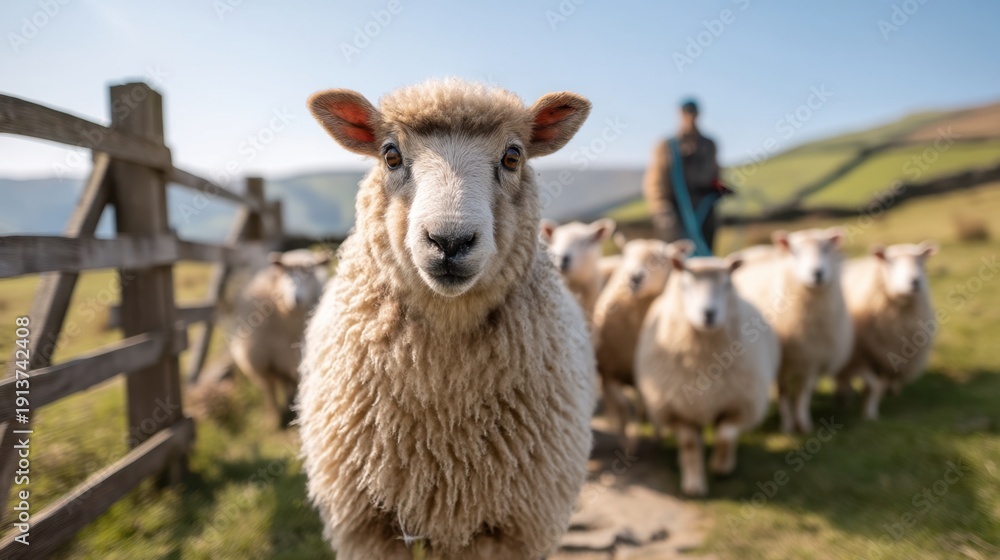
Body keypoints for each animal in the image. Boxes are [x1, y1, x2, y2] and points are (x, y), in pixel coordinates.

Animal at [228, 249, 329, 426]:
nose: (296, 298)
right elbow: (269, 390)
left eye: (310, 273)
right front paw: (273, 419)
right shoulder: (262, 362)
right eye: (286, 273)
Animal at [592, 238, 693, 450]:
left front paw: (656, 436)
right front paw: (627, 443)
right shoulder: (609, 372)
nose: (634, 278)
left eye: (660, 258)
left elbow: (647, 403)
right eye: (626, 257)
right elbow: (622, 408)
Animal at [635, 253, 779, 497]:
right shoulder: (678, 409)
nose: (708, 314)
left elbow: (725, 436)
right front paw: (694, 485)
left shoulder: (739, 403)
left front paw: (720, 466)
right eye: (685, 285)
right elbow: (690, 445)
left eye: (727, 284)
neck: (704, 359)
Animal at [732, 227, 854, 434]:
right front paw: (788, 426)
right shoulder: (782, 362)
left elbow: (802, 394)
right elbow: (784, 392)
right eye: (796, 252)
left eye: (826, 249)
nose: (817, 273)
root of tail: (756, 250)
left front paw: (803, 424)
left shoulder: (811, 359)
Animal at [836, 242, 939, 420]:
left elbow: (879, 387)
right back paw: (844, 397)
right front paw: (869, 414)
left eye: (920, 261)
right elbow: (873, 386)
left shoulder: (889, 359)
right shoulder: (861, 356)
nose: (915, 281)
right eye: (890, 262)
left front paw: (871, 409)